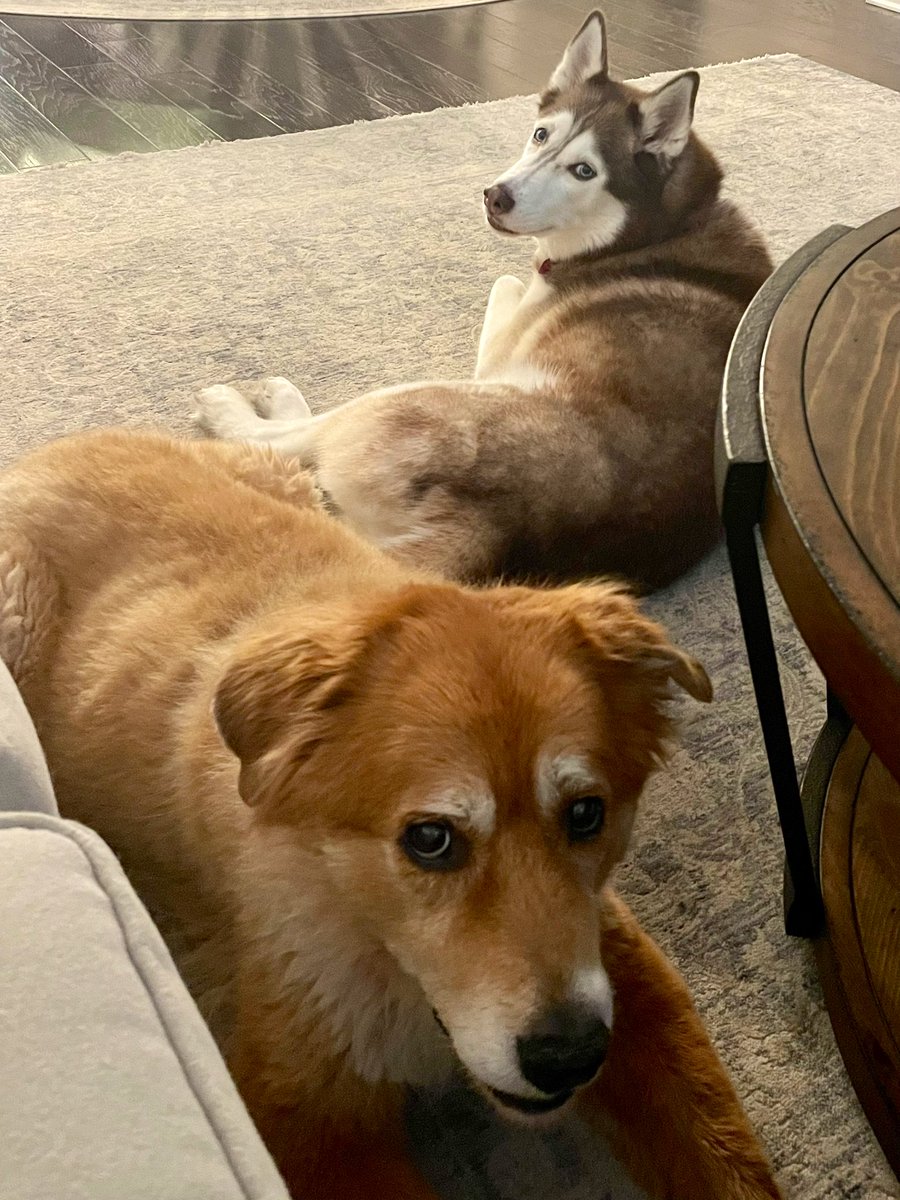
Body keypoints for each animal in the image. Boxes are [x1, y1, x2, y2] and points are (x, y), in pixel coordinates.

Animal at [0, 432, 782, 1200]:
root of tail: (55, 452)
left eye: (587, 814)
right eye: (430, 839)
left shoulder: (632, 987)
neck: (362, 926)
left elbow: (724, 1157)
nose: (568, 1056)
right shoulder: (307, 1119)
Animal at [194, 9, 772, 590]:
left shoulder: (500, 350)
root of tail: (496, 527)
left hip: (400, 400)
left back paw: (246, 407)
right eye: (541, 135)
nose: (496, 196)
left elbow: (504, 285)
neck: (657, 230)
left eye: (584, 170)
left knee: (286, 441)